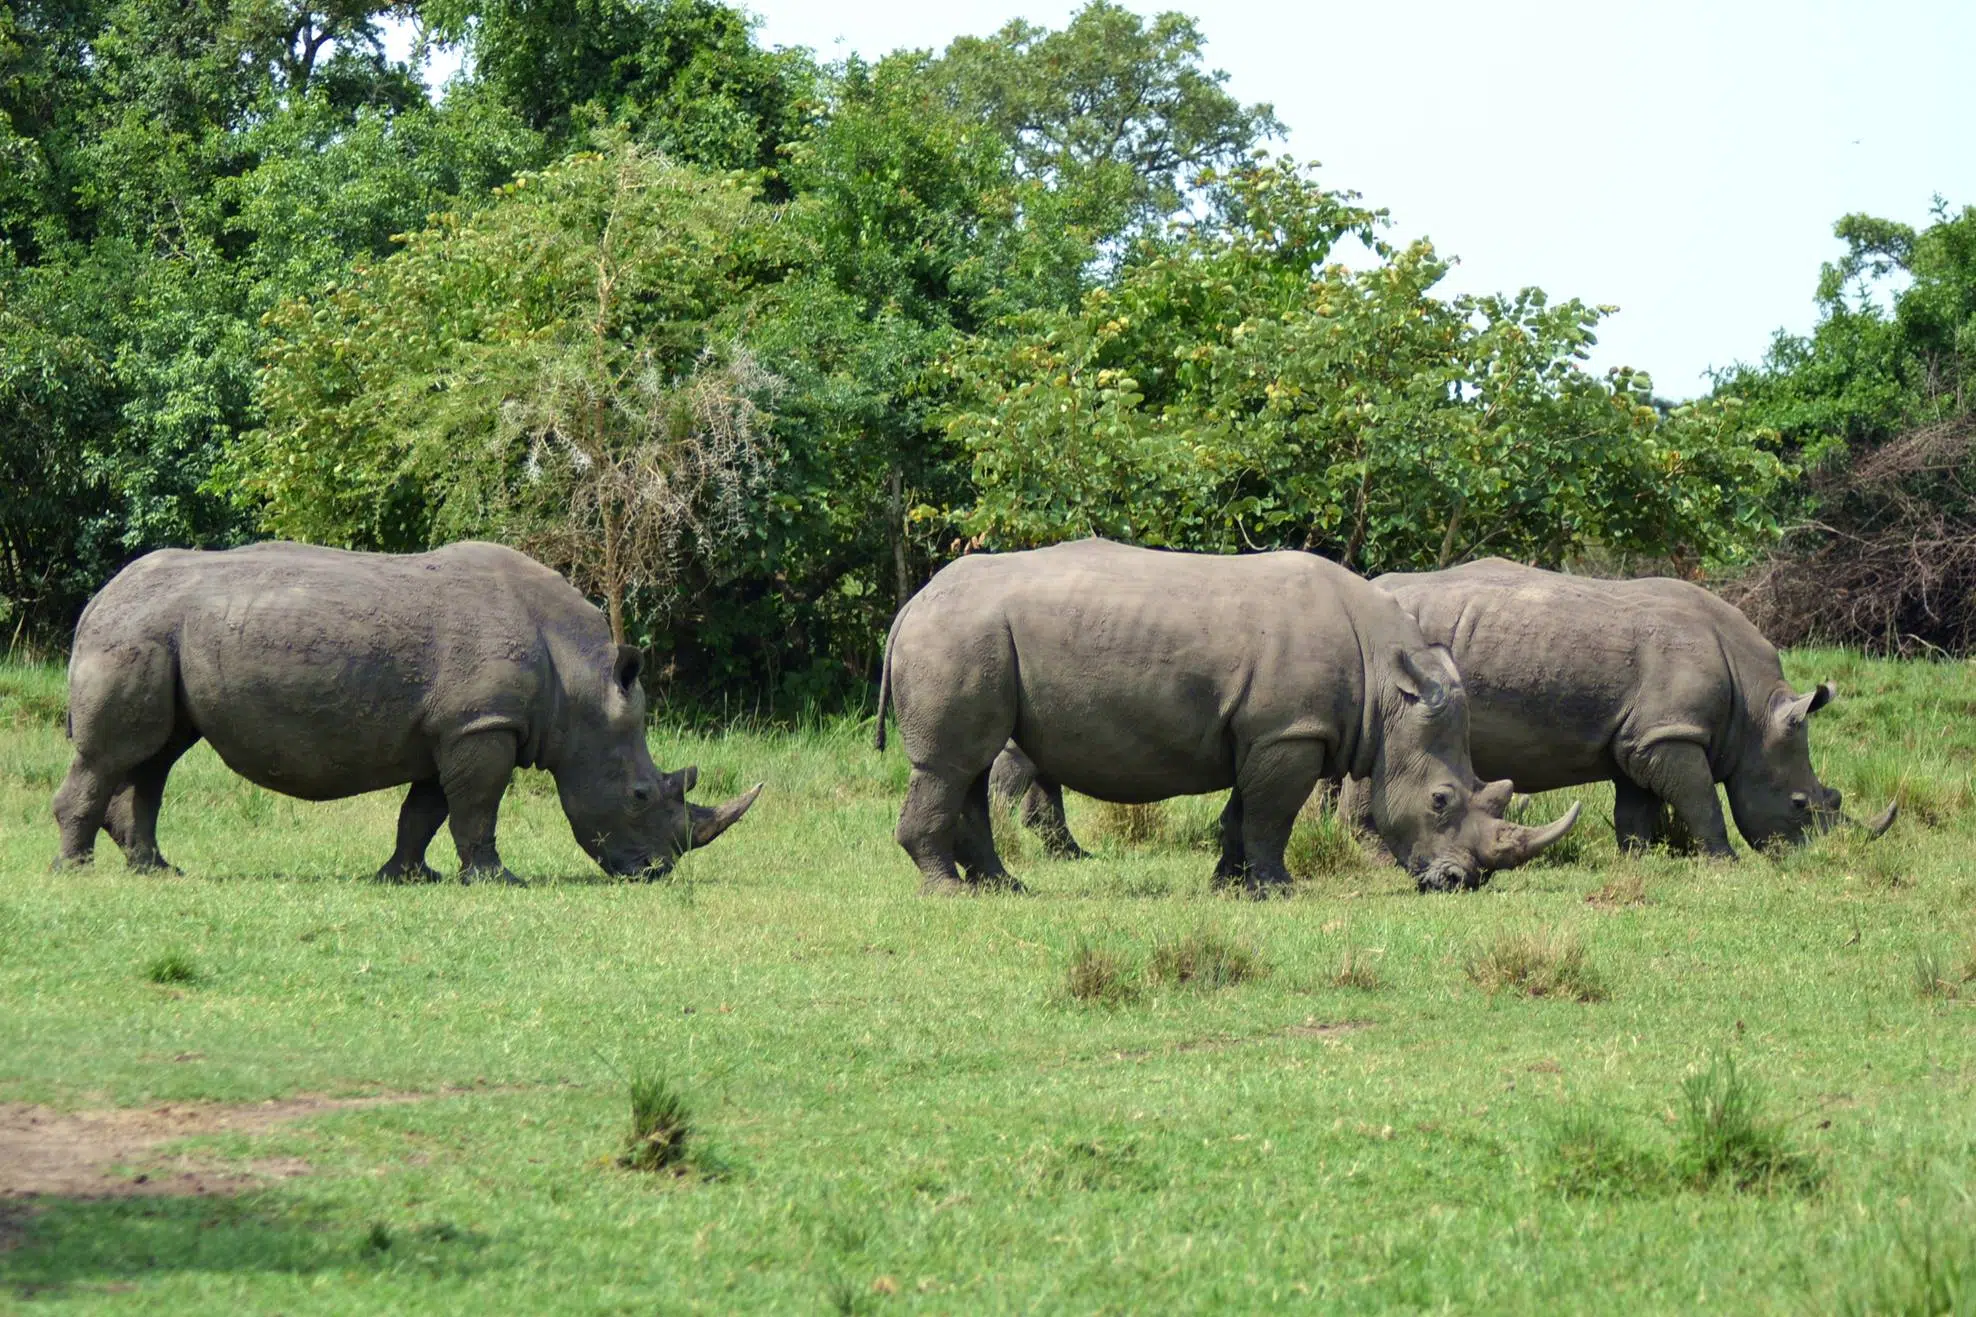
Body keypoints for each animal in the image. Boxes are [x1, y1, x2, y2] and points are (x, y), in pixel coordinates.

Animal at [52, 541, 761, 882]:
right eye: (640, 795)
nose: (657, 874)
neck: (580, 685)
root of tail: (98, 597)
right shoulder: (484, 725)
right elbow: (477, 810)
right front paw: (497, 881)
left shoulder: (455, 728)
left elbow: (425, 811)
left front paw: (407, 877)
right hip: (136, 631)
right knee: (117, 755)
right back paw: (76, 870)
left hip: (162, 633)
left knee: (158, 755)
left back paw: (156, 870)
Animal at [873, 539, 1579, 894]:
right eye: (1440, 800)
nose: (1463, 881)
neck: (1389, 683)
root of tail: (912, 605)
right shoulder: (1289, 731)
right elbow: (1271, 815)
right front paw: (1280, 889)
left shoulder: (1266, 732)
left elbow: (1244, 811)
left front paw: (1230, 886)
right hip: (960, 633)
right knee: (951, 766)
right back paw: (951, 893)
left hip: (970, 635)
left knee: (969, 764)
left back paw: (1003, 888)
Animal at [1338, 559, 1895, 857]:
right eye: (1799, 805)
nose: (1821, 857)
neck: (1756, 710)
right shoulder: (1671, 732)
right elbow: (1702, 801)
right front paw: (1724, 861)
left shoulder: (1642, 737)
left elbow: (1636, 807)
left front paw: (1638, 860)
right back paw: (1375, 855)